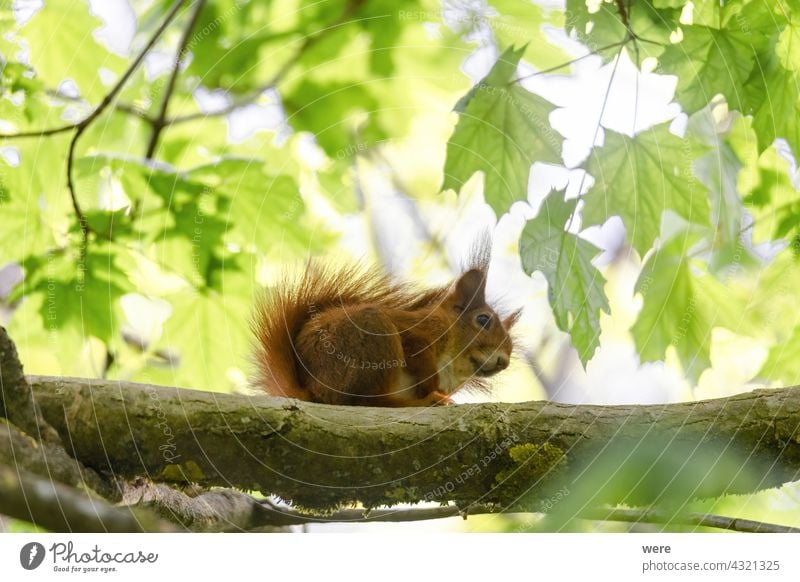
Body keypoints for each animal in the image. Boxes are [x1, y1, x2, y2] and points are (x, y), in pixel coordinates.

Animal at [250, 240, 520, 408]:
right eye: (483, 320)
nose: (504, 361)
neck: (454, 365)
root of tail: (313, 391)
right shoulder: (420, 331)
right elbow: (416, 352)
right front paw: (431, 387)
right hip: (374, 339)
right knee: (367, 402)